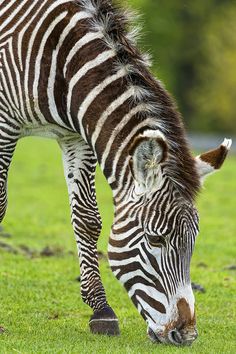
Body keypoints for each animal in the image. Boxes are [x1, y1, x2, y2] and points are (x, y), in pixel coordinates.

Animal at [0, 0, 231, 346]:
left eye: (193, 240)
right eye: (155, 238)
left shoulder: (77, 135)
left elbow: (87, 219)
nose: (187, 335)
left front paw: (101, 311)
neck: (64, 61)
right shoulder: (5, 124)